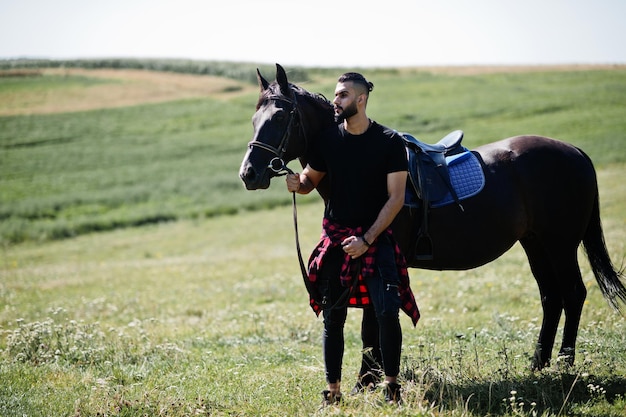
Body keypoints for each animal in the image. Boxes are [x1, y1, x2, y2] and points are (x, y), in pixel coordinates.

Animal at [238, 63, 624, 368]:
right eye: (254, 119)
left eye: (279, 117)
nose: (249, 174)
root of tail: (575, 152)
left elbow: (371, 325)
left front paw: (370, 381)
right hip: (535, 243)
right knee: (551, 296)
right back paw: (538, 364)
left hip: (560, 245)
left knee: (573, 293)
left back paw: (564, 364)